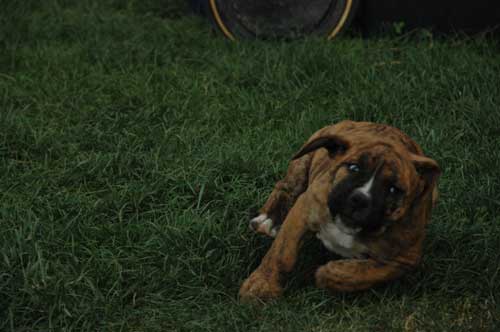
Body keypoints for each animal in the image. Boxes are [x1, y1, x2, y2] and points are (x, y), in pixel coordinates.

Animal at [238, 121, 438, 300]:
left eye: (393, 190)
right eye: (353, 167)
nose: (360, 199)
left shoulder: (405, 258)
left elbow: (365, 273)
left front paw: (330, 273)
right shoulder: (304, 209)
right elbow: (281, 254)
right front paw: (261, 285)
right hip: (302, 163)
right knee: (285, 187)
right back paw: (269, 219)